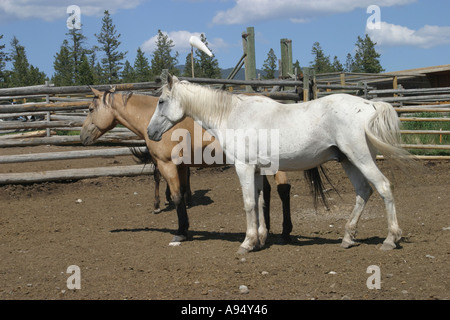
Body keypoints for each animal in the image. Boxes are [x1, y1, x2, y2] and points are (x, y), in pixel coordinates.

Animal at [80, 87, 298, 242]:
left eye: (90, 109)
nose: (82, 137)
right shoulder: (182, 166)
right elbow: (183, 192)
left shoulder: (166, 165)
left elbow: (177, 196)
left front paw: (181, 231)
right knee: (267, 191)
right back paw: (268, 228)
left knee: (283, 189)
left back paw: (285, 231)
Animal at [147, 75, 412, 255]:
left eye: (161, 101)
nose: (150, 132)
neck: (232, 115)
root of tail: (370, 106)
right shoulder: (256, 169)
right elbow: (260, 201)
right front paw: (260, 239)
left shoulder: (243, 167)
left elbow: (249, 203)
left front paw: (247, 243)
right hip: (349, 161)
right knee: (363, 192)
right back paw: (347, 238)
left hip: (361, 159)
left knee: (383, 187)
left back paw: (390, 239)